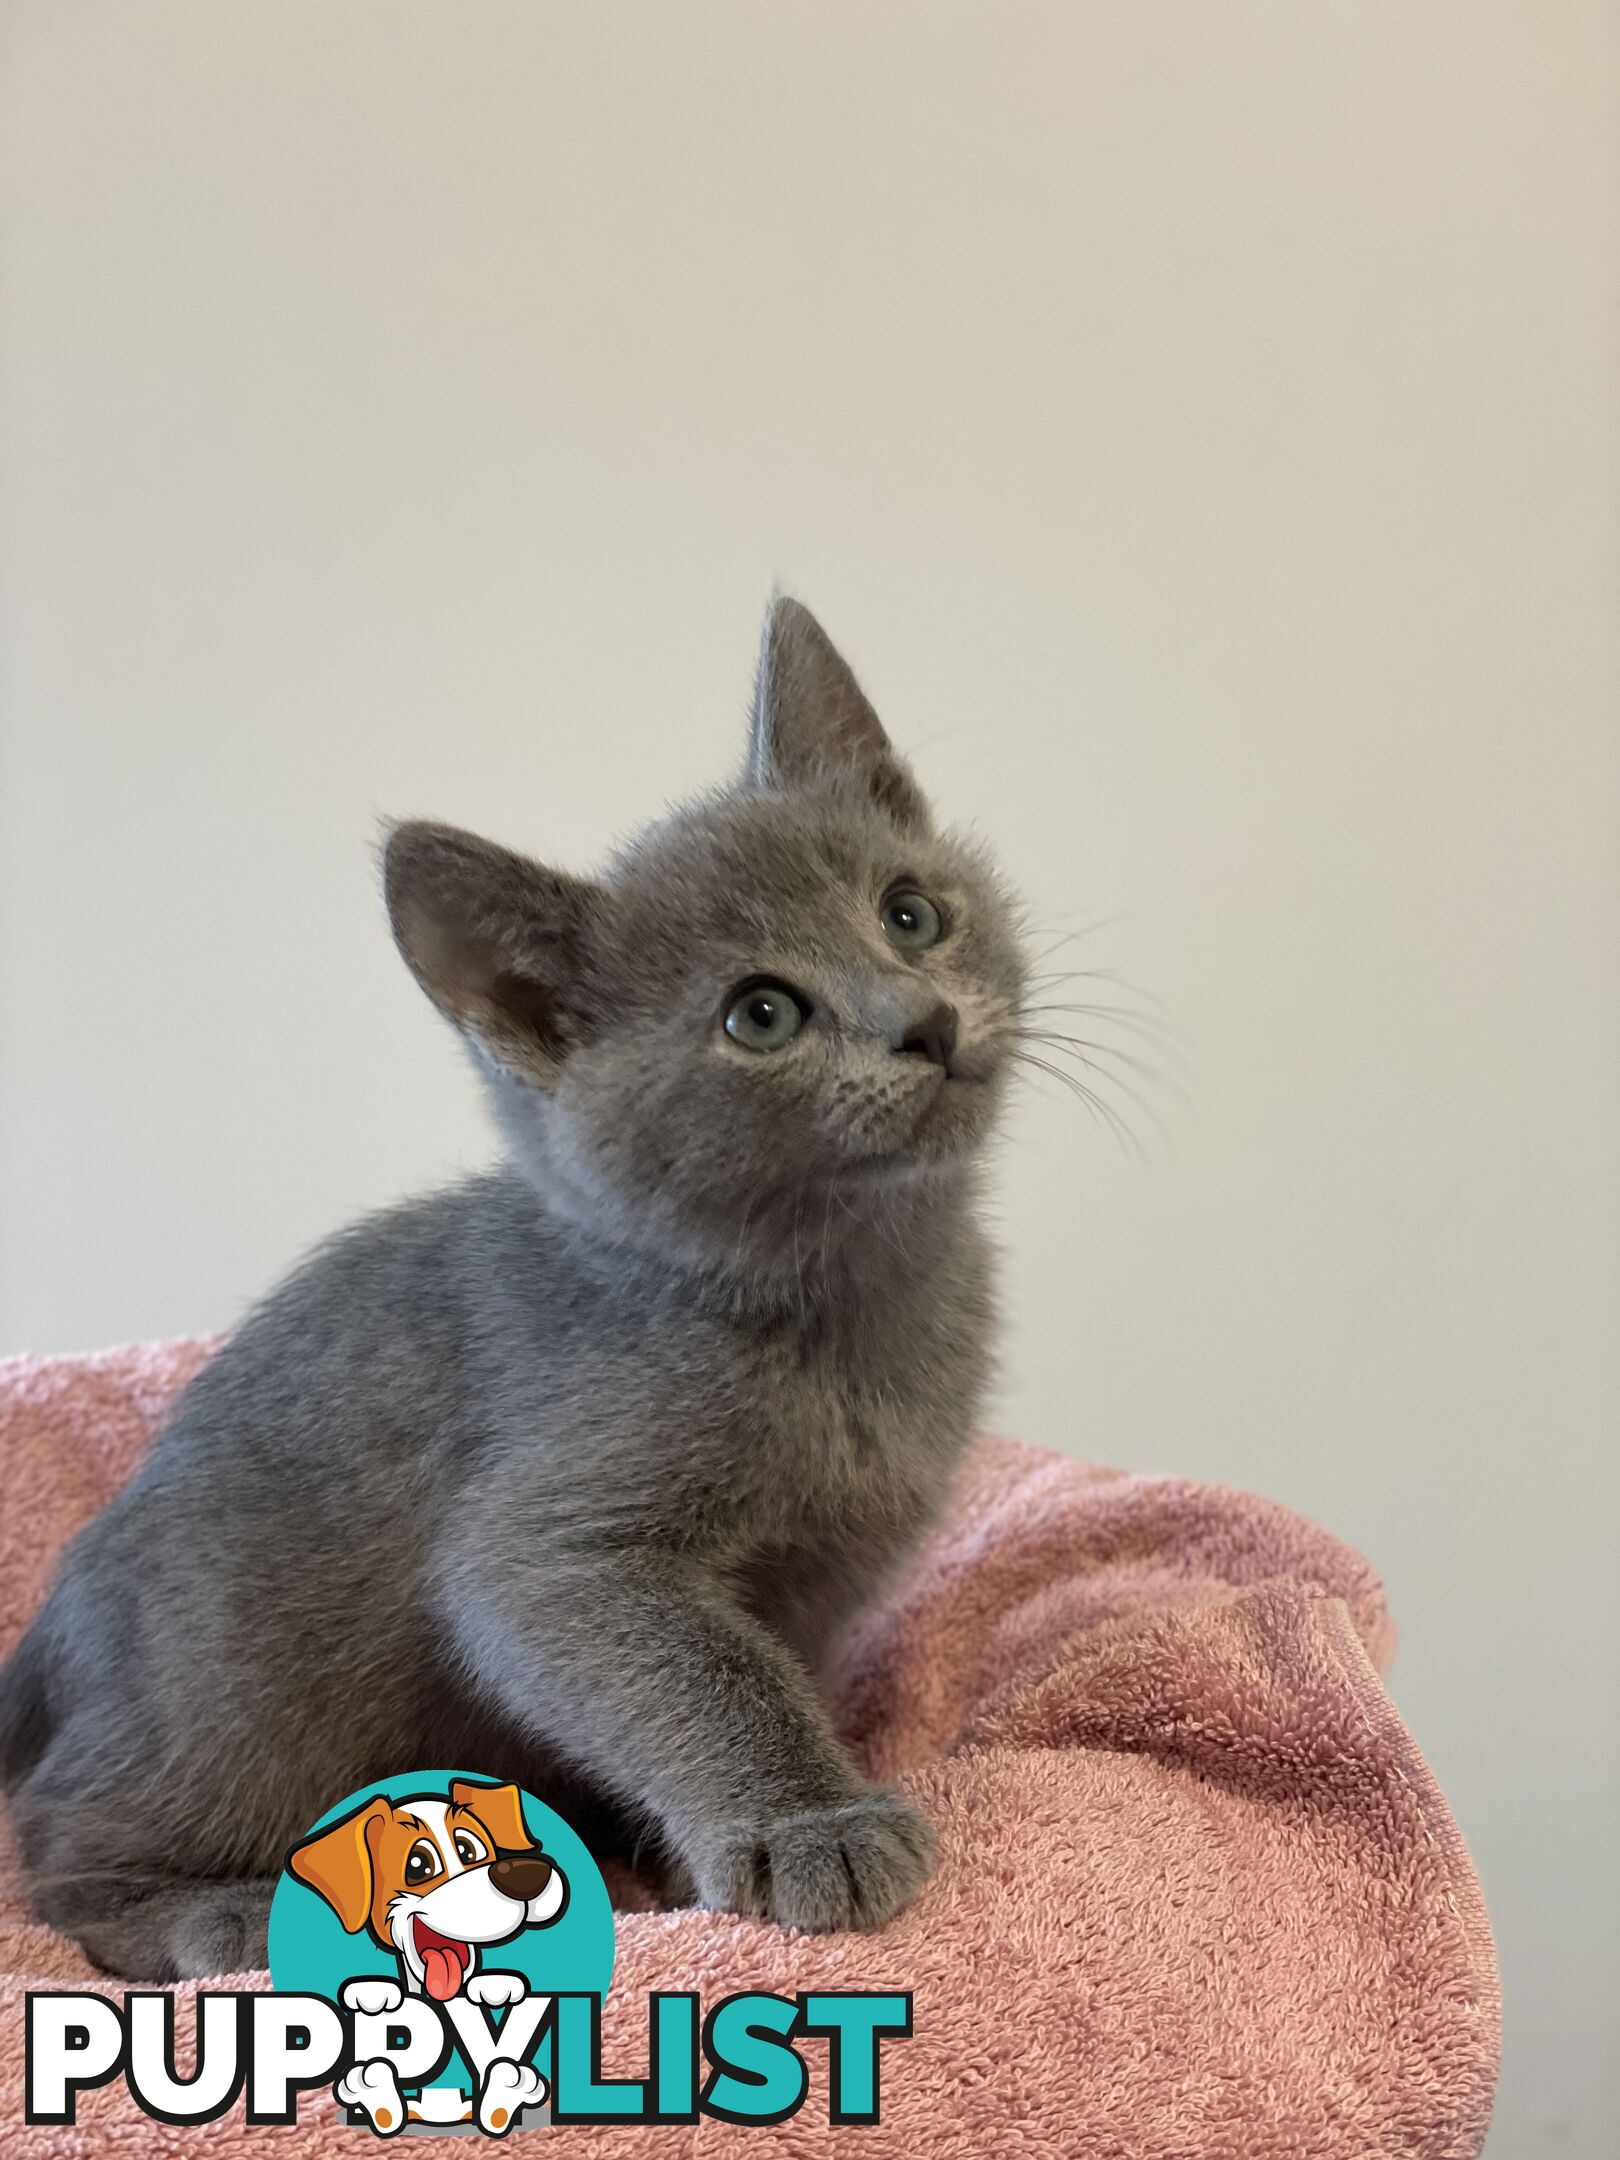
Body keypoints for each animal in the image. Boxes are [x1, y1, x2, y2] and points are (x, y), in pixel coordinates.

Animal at [3, 600, 1028, 1978]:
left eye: (910, 915)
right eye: (759, 1016)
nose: (923, 1021)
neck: (855, 1293)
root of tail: (52, 1628)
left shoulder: (822, 1576)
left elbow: (766, 1664)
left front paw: (683, 1845)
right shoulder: (552, 1545)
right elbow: (696, 1670)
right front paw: (810, 1823)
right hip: (239, 1675)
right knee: (62, 1841)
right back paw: (214, 1915)